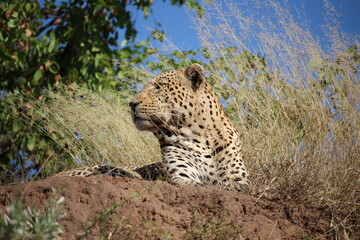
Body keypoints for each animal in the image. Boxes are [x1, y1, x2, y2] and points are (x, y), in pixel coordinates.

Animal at [59, 63, 250, 191]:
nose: (132, 104)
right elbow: (202, 184)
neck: (200, 136)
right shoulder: (182, 176)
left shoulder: (239, 180)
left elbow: (232, 186)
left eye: (159, 87)